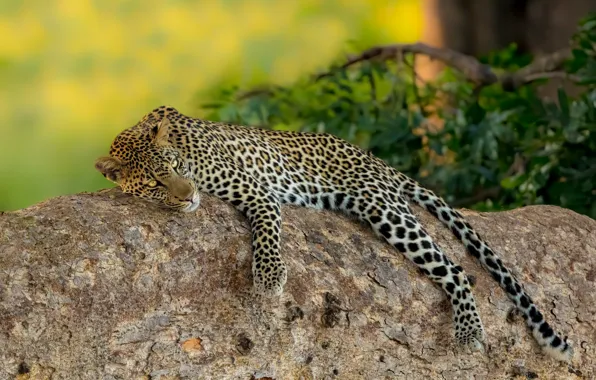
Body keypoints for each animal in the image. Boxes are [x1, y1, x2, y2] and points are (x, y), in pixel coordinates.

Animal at [95, 104, 576, 362]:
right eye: (155, 182)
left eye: (175, 166)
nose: (190, 195)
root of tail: (378, 161)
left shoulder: (255, 192)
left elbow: (266, 232)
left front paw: (269, 277)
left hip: (383, 208)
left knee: (456, 269)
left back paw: (468, 332)